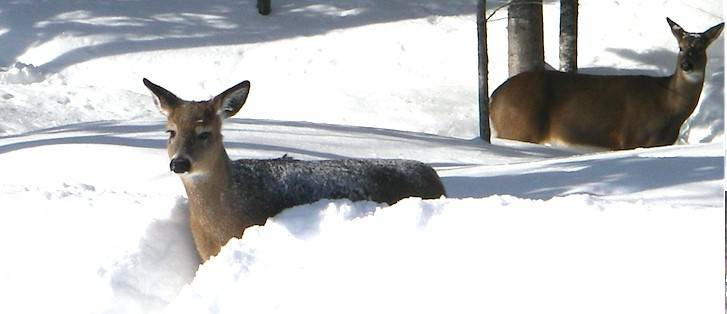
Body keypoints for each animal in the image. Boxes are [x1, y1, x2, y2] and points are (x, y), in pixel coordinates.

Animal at [490, 17, 724, 150]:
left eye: (701, 48)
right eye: (681, 47)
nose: (686, 65)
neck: (667, 105)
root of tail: (494, 97)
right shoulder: (630, 138)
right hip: (520, 127)